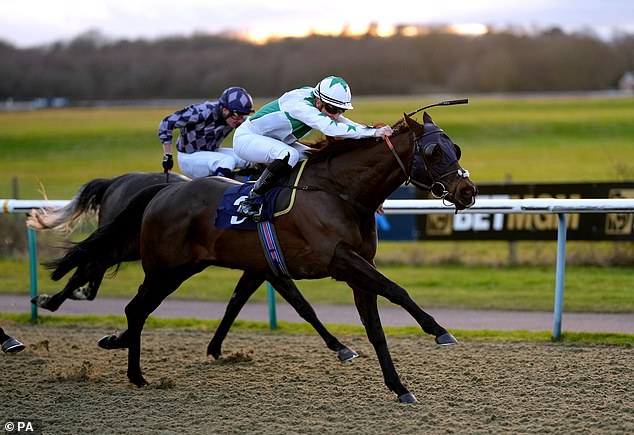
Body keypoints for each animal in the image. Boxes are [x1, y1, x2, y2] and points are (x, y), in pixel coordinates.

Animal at [49, 112, 474, 406]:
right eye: (434, 151)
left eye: (456, 148)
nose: (467, 191)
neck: (338, 192)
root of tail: (162, 191)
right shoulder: (338, 260)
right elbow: (394, 290)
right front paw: (439, 331)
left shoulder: (345, 268)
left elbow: (375, 329)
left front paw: (399, 387)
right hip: (165, 268)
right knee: (132, 305)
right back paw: (134, 372)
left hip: (178, 267)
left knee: (133, 304)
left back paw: (120, 351)